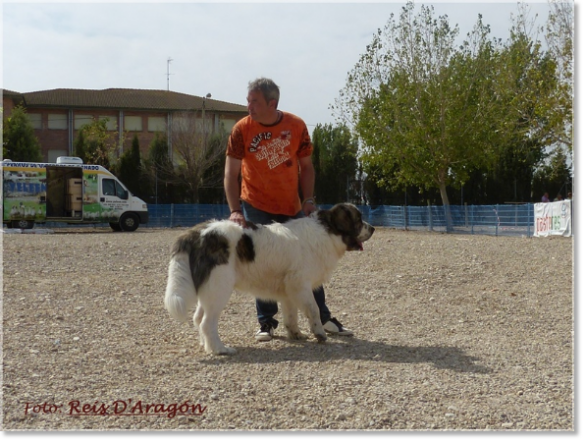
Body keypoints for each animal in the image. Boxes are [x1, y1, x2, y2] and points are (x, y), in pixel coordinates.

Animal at [164, 202, 374, 354]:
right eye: (358, 219)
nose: (372, 228)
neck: (327, 231)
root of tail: (197, 232)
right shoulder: (301, 285)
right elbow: (313, 309)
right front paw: (320, 334)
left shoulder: (290, 290)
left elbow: (291, 315)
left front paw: (296, 334)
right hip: (219, 288)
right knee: (207, 322)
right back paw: (219, 349)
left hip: (209, 289)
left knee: (198, 318)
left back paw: (206, 345)